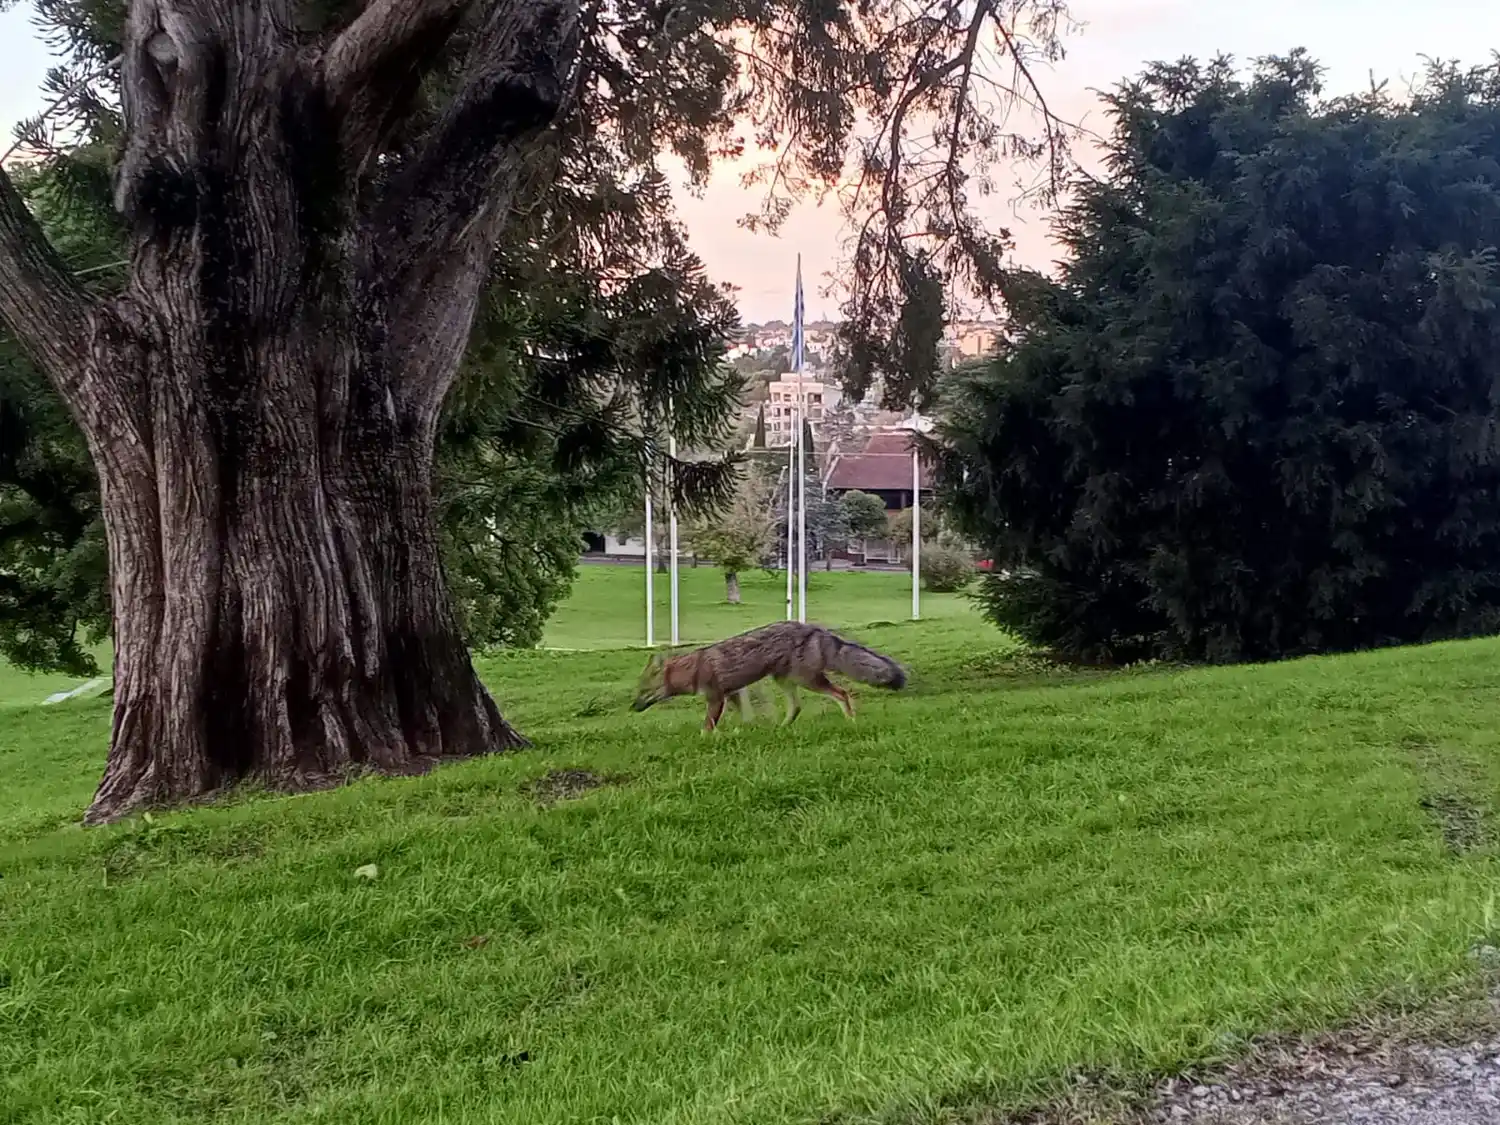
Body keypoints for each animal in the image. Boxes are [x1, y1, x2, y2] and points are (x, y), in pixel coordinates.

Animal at [630, 620, 907, 731]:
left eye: (644, 692)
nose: (632, 707)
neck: (694, 667)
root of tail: (814, 628)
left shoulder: (716, 697)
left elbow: (707, 726)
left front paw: (706, 739)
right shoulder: (733, 692)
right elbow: (744, 716)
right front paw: (743, 730)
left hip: (808, 681)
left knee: (842, 693)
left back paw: (851, 721)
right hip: (784, 680)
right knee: (796, 707)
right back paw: (781, 728)